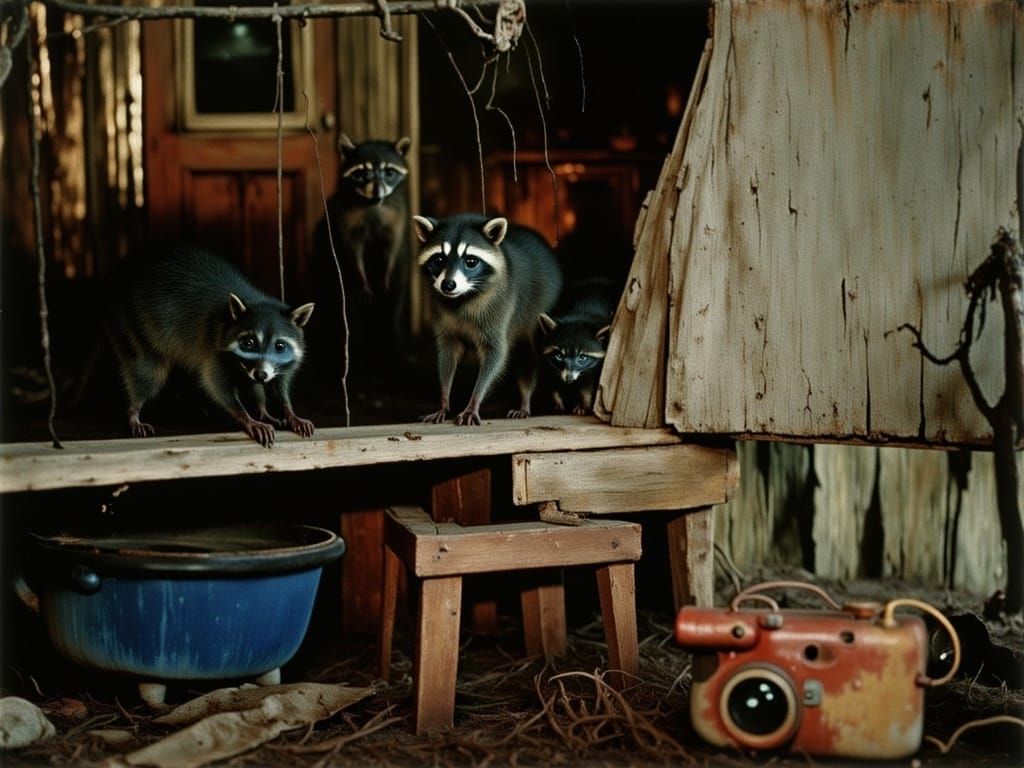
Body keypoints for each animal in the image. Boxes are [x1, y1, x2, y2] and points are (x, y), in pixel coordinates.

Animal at [106, 245, 315, 447]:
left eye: (280, 346)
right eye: (249, 343)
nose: (261, 374)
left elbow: (278, 382)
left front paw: (287, 410)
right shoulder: (213, 346)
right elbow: (215, 384)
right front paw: (246, 416)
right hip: (131, 325)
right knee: (149, 372)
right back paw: (134, 409)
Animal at [414, 213, 563, 426]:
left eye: (470, 261)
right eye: (439, 259)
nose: (448, 285)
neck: (463, 297)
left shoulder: (501, 309)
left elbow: (496, 355)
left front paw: (474, 401)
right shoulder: (444, 321)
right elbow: (447, 355)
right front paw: (443, 400)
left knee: (527, 358)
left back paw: (526, 401)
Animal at [538, 276, 619, 415]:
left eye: (582, 358)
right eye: (559, 356)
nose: (568, 379)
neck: (579, 314)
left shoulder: (593, 366)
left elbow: (588, 386)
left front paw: (584, 403)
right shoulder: (550, 364)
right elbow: (552, 382)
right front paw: (556, 401)